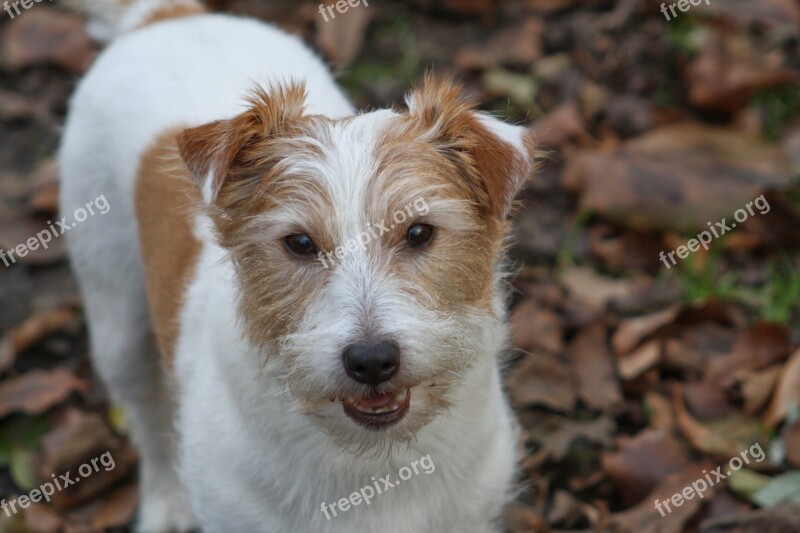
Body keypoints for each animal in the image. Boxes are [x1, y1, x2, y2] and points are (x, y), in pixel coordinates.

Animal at [59, 2, 536, 528]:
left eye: (418, 232)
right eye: (301, 243)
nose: (371, 361)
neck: (372, 462)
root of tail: (168, 17)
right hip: (117, 325)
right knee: (149, 422)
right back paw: (167, 502)